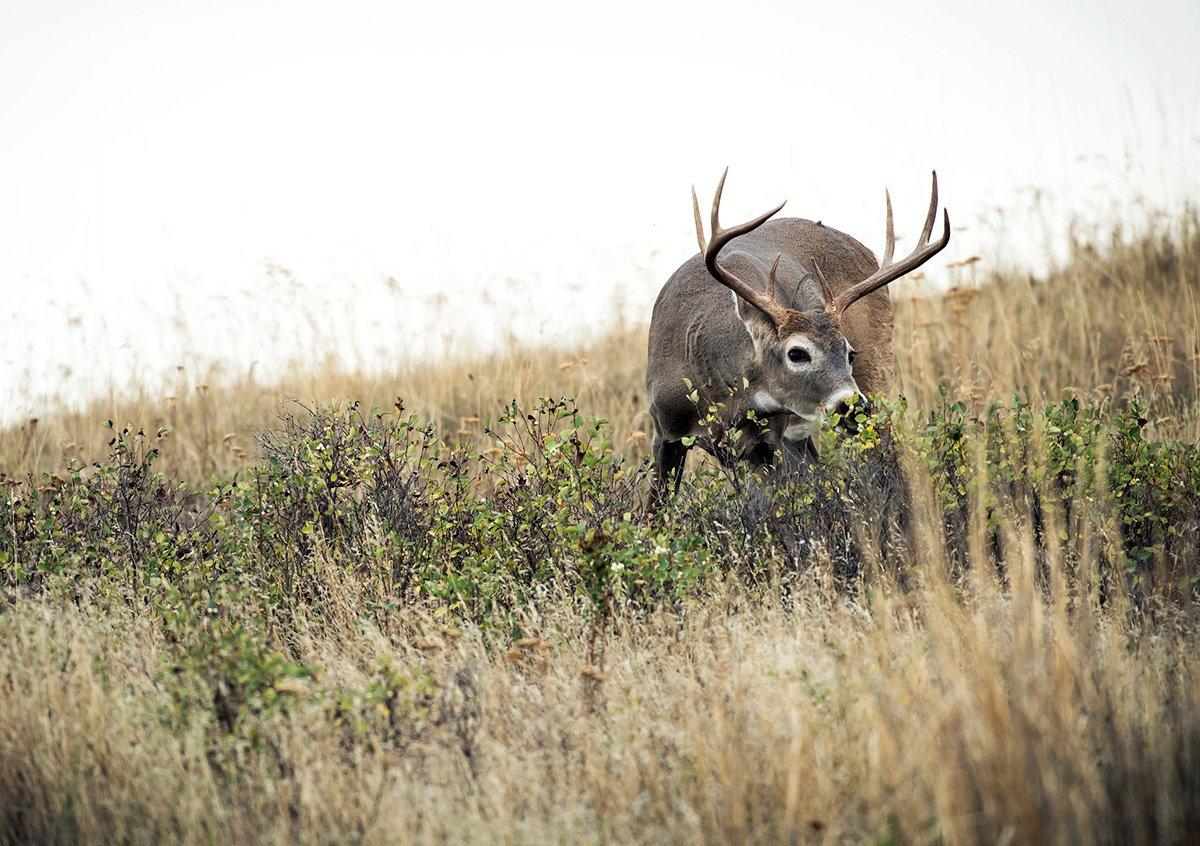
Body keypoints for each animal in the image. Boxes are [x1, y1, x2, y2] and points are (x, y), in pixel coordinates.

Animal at [648, 168, 945, 494]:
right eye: (797, 353)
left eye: (849, 353)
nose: (851, 405)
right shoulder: (664, 432)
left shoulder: (768, 440)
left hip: (875, 376)